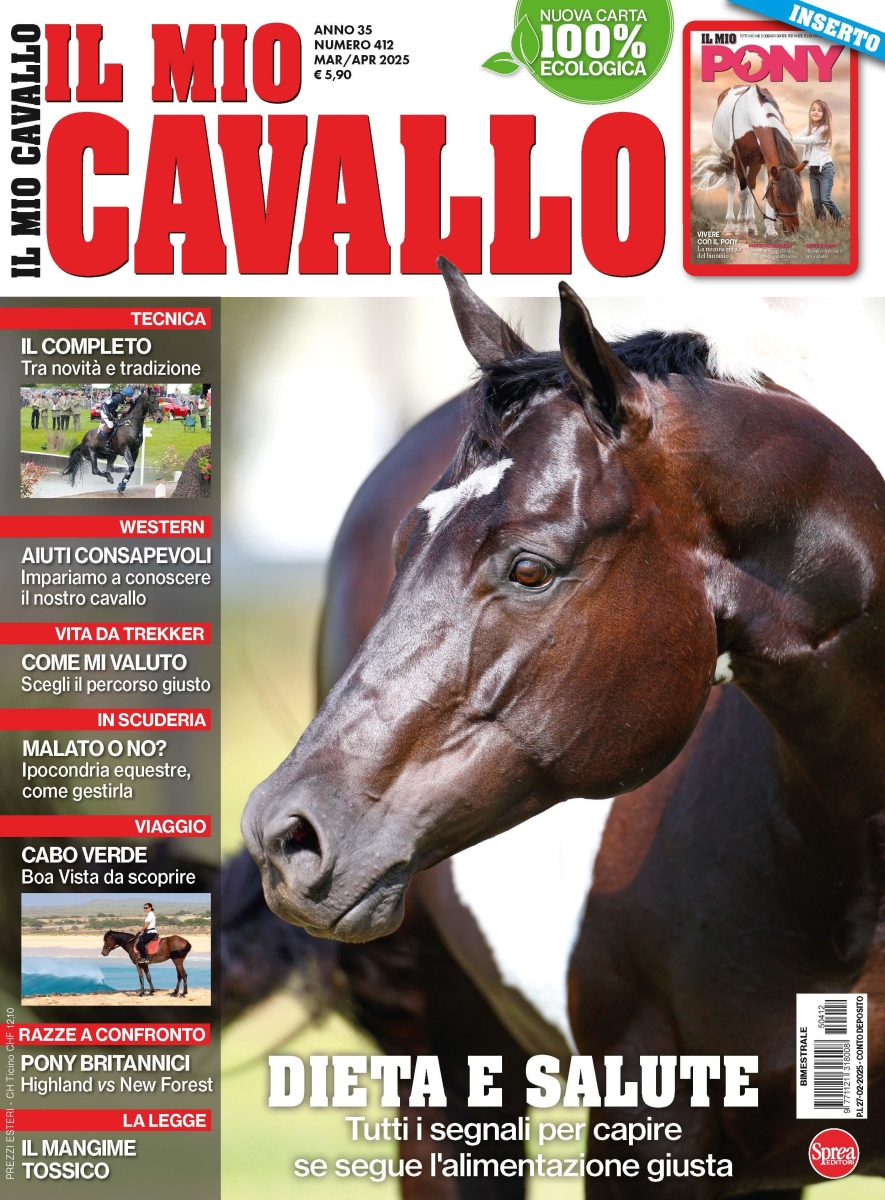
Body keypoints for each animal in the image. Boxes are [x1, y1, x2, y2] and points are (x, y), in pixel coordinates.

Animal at [693, 85, 807, 238]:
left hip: (755, 163)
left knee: (751, 185)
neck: (751, 115)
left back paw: (751, 225)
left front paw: (770, 230)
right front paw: (741, 228)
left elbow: (763, 190)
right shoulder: (740, 160)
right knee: (732, 187)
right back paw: (730, 226)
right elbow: (742, 194)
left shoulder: (765, 162)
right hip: (730, 158)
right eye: (779, 196)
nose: (793, 229)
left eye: (797, 195)